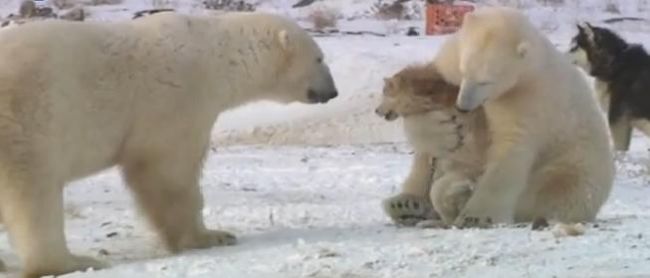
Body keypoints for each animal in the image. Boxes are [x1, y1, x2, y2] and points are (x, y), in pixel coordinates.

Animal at [0, 11, 336, 278]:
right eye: (319, 58)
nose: (333, 91)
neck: (216, 55)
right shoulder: (177, 98)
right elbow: (168, 171)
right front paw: (210, 236)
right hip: (30, 119)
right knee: (34, 193)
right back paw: (72, 261)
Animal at [442, 7, 616, 228]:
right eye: (464, 71)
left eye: (485, 81)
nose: (463, 106)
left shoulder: (531, 101)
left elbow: (511, 150)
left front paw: (475, 215)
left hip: (573, 168)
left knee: (556, 191)